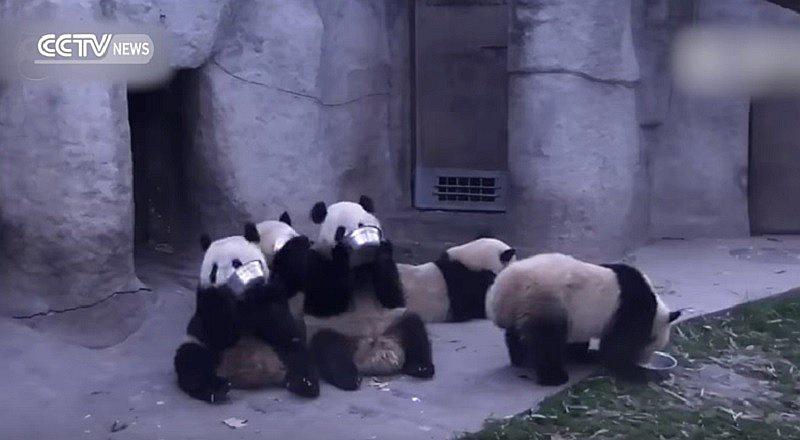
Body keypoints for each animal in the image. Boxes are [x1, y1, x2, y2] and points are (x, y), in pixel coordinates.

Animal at [173, 225, 318, 403]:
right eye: (213, 270)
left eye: (236, 263)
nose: (223, 283)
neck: (239, 299)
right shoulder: (205, 301)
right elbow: (219, 333)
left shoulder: (274, 290)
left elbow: (277, 323)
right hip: (203, 348)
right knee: (192, 361)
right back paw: (215, 389)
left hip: (283, 348)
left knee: (299, 356)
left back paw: (306, 384)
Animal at [302, 196, 435, 390]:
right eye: (340, 231)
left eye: (361, 224)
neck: (359, 266)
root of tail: (374, 353)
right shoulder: (316, 261)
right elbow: (325, 302)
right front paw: (341, 254)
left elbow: (392, 296)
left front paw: (381, 251)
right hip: (337, 331)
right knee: (327, 346)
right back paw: (348, 377)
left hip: (393, 323)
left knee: (414, 328)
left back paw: (421, 367)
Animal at [485, 253, 681, 386]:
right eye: (653, 346)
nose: (644, 361)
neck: (655, 311)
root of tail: (502, 291)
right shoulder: (631, 311)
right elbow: (618, 347)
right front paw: (635, 372)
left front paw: (586, 355)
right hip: (543, 301)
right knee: (547, 342)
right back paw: (554, 377)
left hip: (525, 310)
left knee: (516, 334)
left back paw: (521, 358)